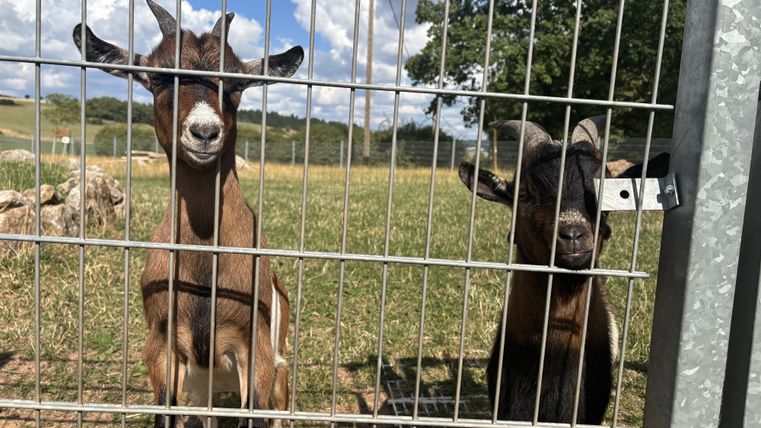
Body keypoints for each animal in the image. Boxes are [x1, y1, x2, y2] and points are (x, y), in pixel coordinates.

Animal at [72, 1, 303, 426]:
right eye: (159, 77)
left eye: (236, 84)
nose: (205, 133)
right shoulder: (162, 350)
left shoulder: (257, 353)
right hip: (202, 387)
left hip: (278, 368)